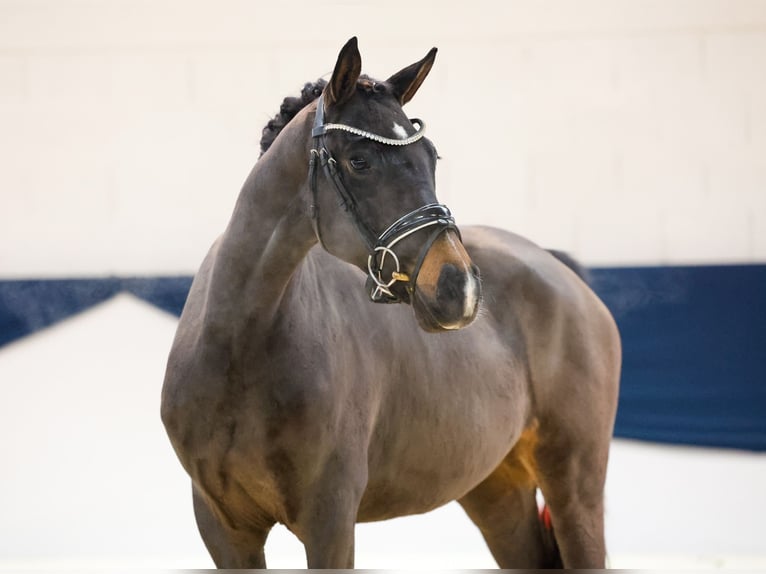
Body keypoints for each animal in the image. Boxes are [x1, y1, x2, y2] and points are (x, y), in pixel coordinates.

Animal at [162, 37, 624, 572]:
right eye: (360, 161)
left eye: (431, 157)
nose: (459, 288)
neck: (238, 350)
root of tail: (558, 269)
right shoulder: (224, 531)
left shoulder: (330, 522)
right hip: (496, 492)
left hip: (575, 486)